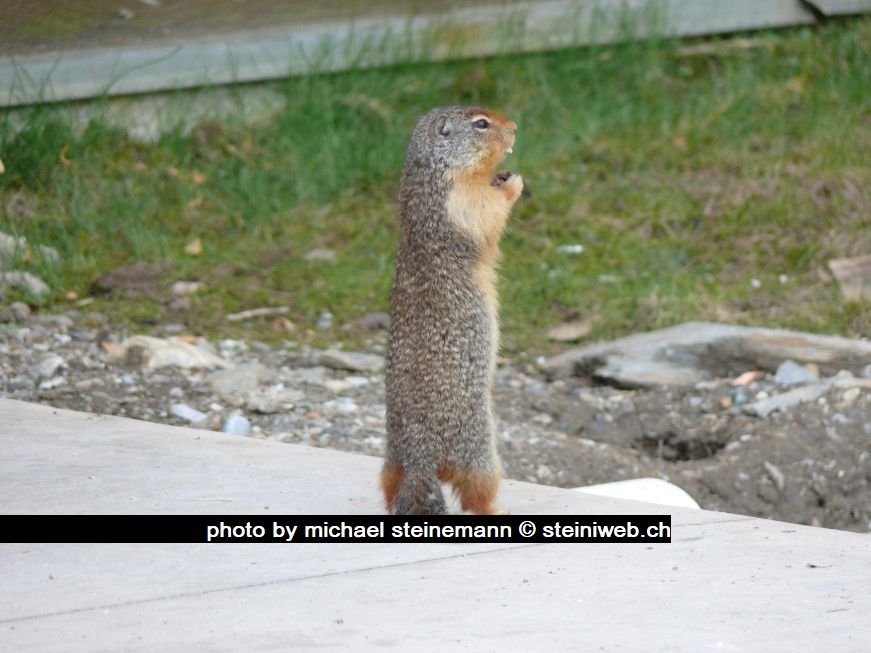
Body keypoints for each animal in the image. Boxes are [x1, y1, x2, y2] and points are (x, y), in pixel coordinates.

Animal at [381, 105, 523, 515]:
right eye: (481, 124)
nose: (515, 128)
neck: (430, 171)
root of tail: (420, 459)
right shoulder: (459, 199)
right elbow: (488, 211)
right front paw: (512, 183)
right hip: (481, 452)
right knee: (478, 493)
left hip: (390, 460)